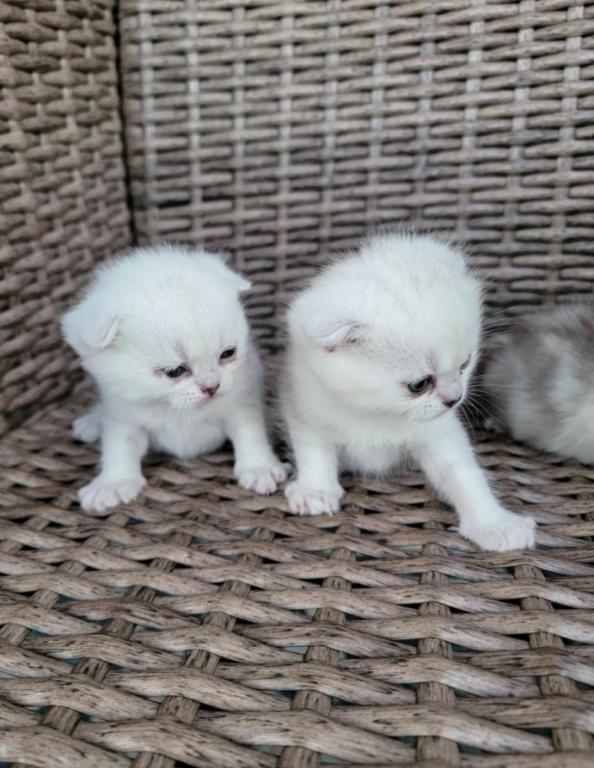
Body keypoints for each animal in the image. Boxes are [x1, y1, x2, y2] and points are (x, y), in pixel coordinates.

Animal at [61, 245, 287, 512]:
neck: (174, 408)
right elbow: (119, 446)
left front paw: (259, 467)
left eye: (228, 354)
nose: (212, 386)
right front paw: (113, 482)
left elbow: (249, 432)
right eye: (174, 372)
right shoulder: (122, 415)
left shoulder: (242, 401)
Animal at [280, 231, 536, 552]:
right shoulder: (306, 407)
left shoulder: (440, 435)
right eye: (419, 384)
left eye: (465, 365)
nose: (455, 398)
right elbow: (314, 451)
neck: (374, 413)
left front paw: (494, 523)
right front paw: (316, 490)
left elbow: (465, 475)